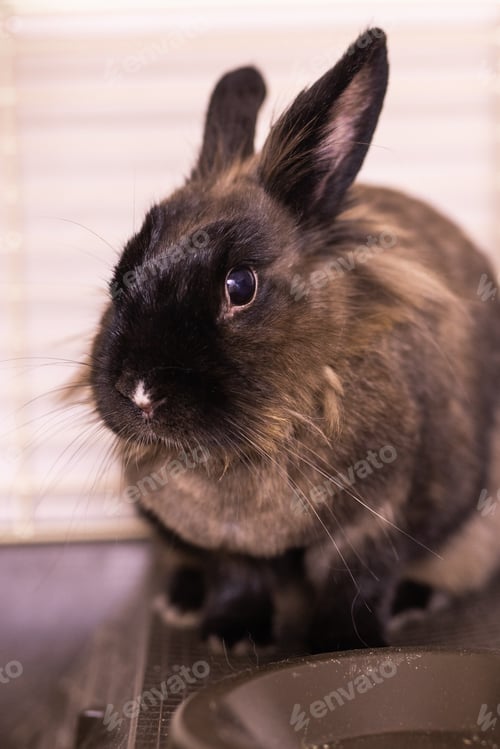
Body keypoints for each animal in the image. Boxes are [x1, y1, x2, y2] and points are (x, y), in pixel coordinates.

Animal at [84, 28, 500, 653]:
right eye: (122, 271)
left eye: (240, 285)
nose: (138, 392)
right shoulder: (218, 538)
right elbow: (237, 576)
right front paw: (233, 635)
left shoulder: (376, 517)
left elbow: (356, 584)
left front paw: (340, 645)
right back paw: (182, 601)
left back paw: (411, 603)